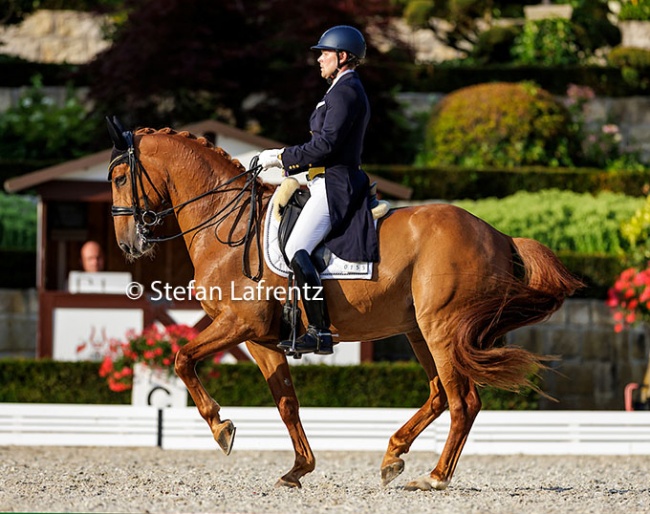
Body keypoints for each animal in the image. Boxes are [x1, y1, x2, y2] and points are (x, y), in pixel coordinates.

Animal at [107, 120, 584, 488]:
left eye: (118, 179)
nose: (128, 245)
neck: (227, 226)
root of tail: (498, 234)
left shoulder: (238, 324)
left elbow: (182, 358)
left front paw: (222, 428)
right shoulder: (262, 339)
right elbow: (286, 402)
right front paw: (298, 469)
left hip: (443, 330)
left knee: (463, 401)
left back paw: (434, 477)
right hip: (418, 331)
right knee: (438, 395)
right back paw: (393, 456)